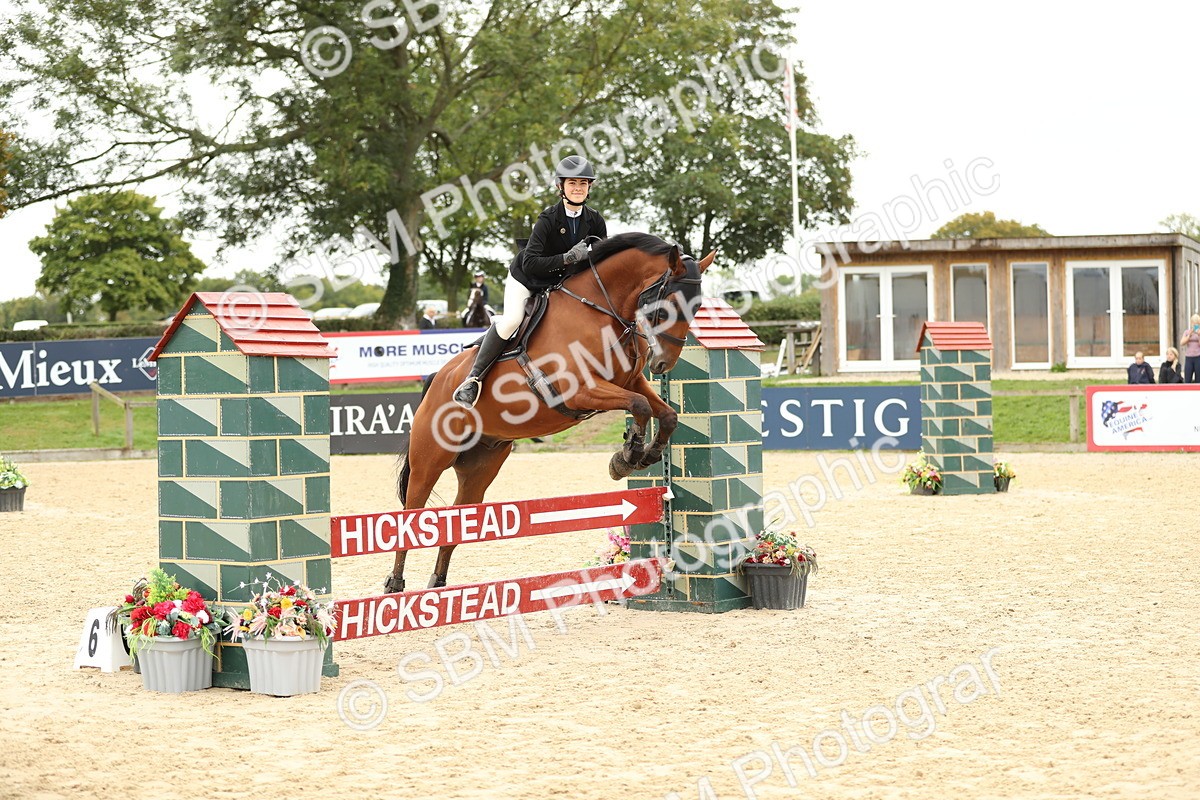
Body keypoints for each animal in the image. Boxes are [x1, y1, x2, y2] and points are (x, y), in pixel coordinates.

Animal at [383, 232, 714, 593]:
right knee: (410, 514)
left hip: (480, 468)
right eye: (668, 305)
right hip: (430, 460)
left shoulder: (631, 381)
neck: (603, 310)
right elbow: (639, 406)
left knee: (457, 523)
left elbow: (664, 414)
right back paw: (395, 584)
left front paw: (642, 454)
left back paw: (438, 584)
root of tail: (436, 380)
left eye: (697, 307)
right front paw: (627, 456)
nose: (663, 364)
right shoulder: (581, 389)